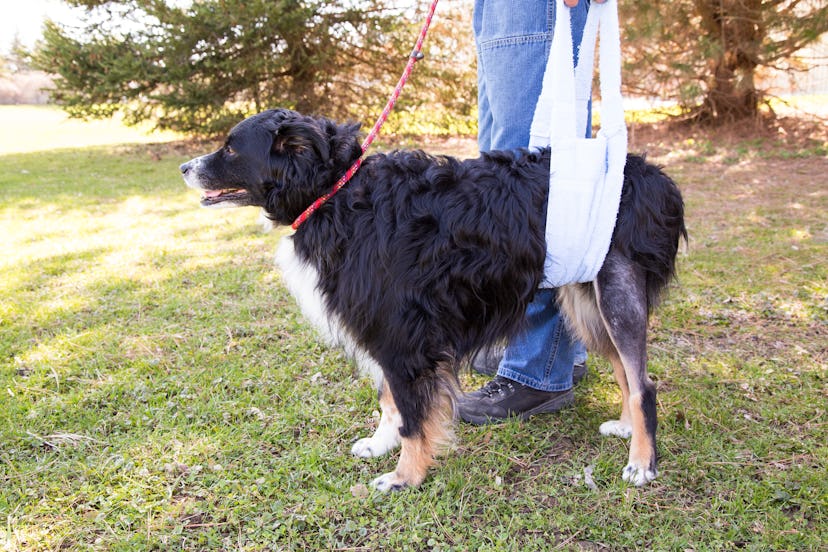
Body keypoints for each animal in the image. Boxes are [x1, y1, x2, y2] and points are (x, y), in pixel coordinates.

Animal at [181, 108, 684, 492]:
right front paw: (381, 445)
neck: (336, 194)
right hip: (586, 298)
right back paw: (626, 428)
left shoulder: (402, 336)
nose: (185, 167)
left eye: (230, 149)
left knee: (643, 383)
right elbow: (390, 400)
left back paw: (642, 462)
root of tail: (650, 175)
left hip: (614, 292)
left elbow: (412, 415)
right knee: (625, 372)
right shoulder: (386, 331)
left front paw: (404, 476)